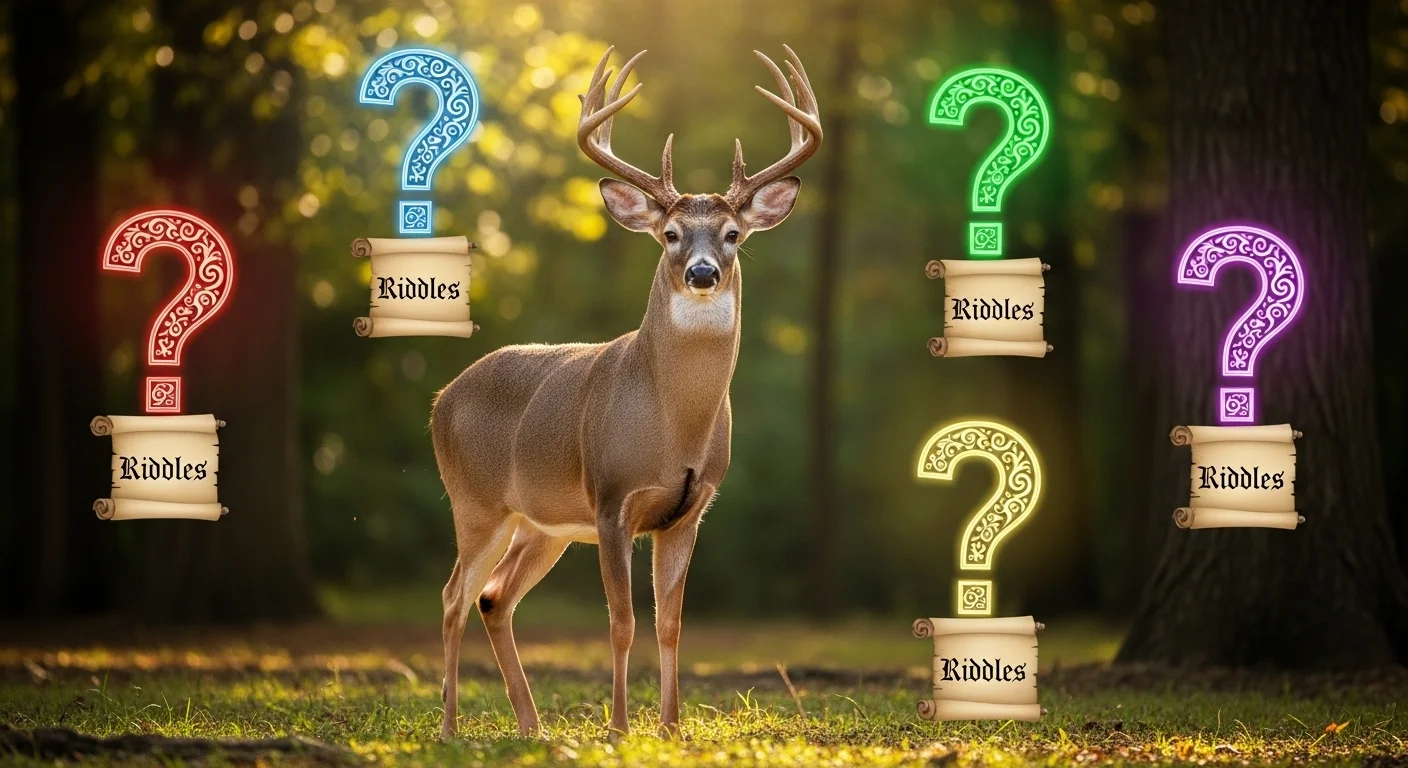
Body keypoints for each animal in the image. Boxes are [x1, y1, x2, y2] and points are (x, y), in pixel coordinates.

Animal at [430, 45, 822, 741]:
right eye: (670, 234)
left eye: (732, 235)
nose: (702, 272)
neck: (673, 426)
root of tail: (439, 400)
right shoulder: (612, 499)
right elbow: (621, 622)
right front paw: (617, 727)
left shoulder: (691, 509)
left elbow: (670, 624)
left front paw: (671, 727)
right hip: (475, 502)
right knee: (454, 595)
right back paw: (450, 728)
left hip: (543, 523)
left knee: (494, 596)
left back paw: (533, 726)